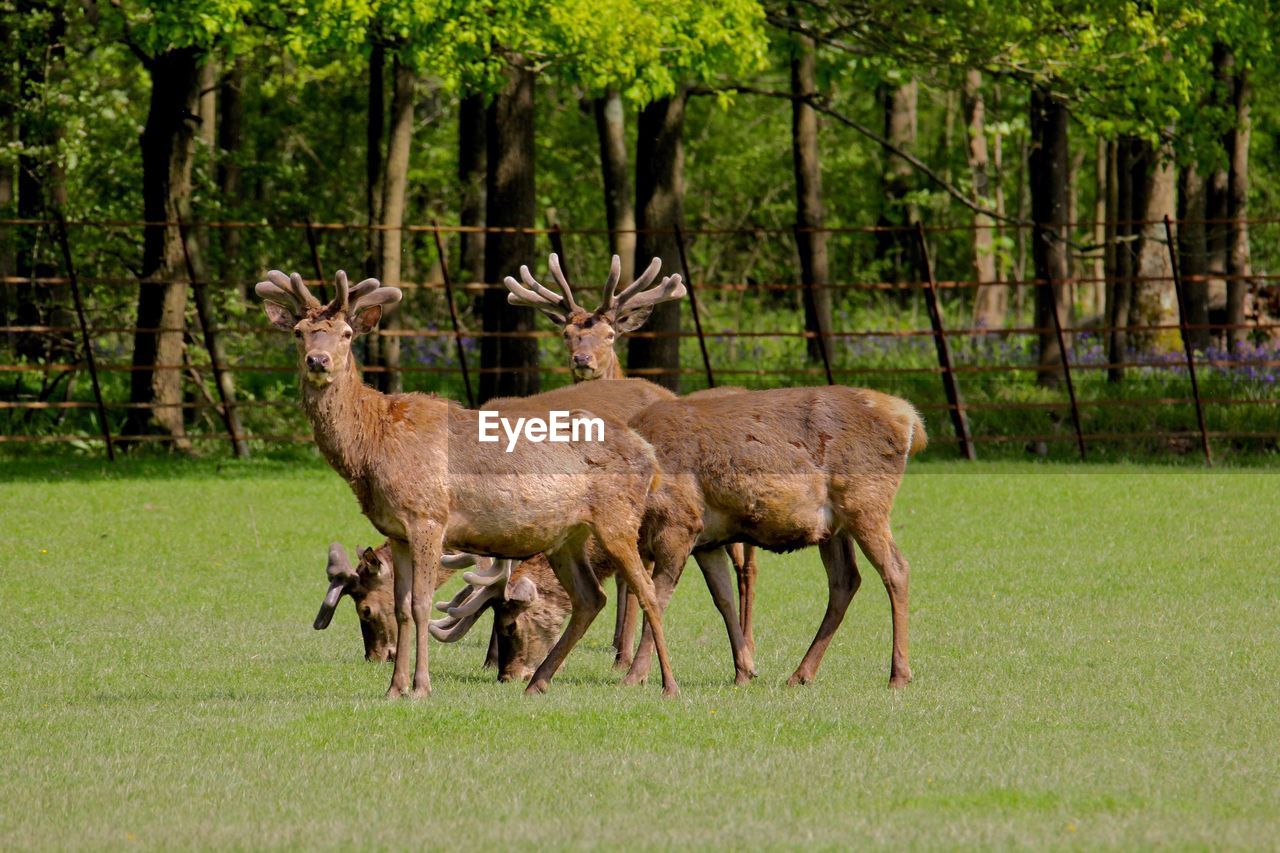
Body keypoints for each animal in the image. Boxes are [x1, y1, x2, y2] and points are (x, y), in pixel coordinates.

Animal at [254, 268, 686, 696]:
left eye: (346, 333)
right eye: (299, 332)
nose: (318, 360)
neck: (373, 447)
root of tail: (648, 454)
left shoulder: (428, 516)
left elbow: (422, 604)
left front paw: (421, 687)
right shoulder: (397, 530)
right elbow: (402, 606)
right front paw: (394, 688)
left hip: (618, 518)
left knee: (648, 592)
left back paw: (664, 684)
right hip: (569, 536)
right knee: (590, 597)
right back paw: (538, 682)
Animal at [499, 252, 757, 666]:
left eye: (610, 334)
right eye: (567, 334)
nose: (582, 359)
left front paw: (626, 652)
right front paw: (619, 645)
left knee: (747, 566)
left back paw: (748, 643)